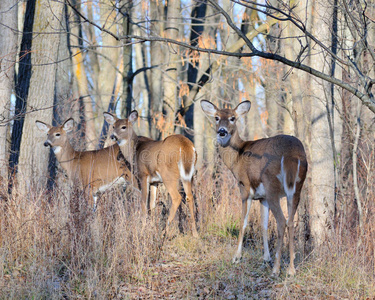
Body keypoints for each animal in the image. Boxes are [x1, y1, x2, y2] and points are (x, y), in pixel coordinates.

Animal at [201, 99, 306, 276]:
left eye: (232, 118)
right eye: (216, 117)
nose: (222, 131)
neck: (236, 157)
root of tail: (293, 154)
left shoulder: (245, 187)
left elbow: (243, 221)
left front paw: (236, 257)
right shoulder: (262, 197)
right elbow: (264, 226)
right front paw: (266, 259)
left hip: (272, 186)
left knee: (282, 221)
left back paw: (276, 270)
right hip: (297, 187)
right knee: (290, 221)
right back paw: (291, 269)